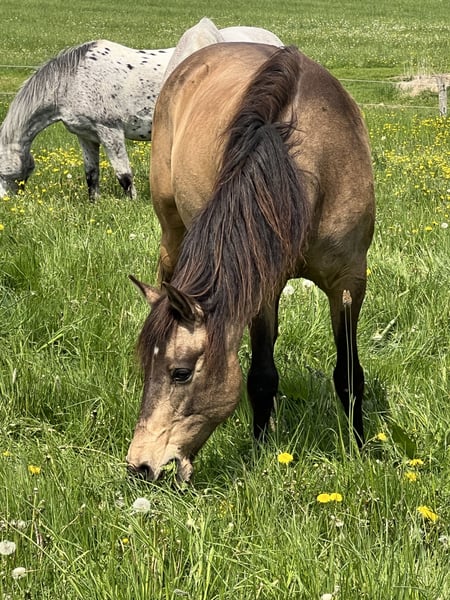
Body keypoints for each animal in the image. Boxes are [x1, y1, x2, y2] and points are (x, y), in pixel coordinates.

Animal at [0, 20, 282, 201]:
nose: (5, 202)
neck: (75, 78)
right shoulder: (86, 136)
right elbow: (91, 175)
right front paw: (94, 204)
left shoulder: (110, 131)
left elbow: (123, 174)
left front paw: (131, 203)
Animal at [127, 43, 375, 482]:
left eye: (180, 372)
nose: (139, 465)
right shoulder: (262, 286)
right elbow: (261, 376)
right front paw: (261, 450)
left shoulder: (349, 282)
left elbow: (349, 374)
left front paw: (359, 448)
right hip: (171, 229)